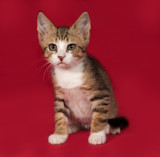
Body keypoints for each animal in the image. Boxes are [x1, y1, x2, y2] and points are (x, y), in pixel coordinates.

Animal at [37, 11, 128, 145]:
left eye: (71, 46)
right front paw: (59, 134)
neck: (69, 73)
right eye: (52, 47)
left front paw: (97, 135)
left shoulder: (101, 93)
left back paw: (110, 128)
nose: (61, 57)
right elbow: (59, 115)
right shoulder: (59, 96)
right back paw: (71, 126)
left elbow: (99, 116)